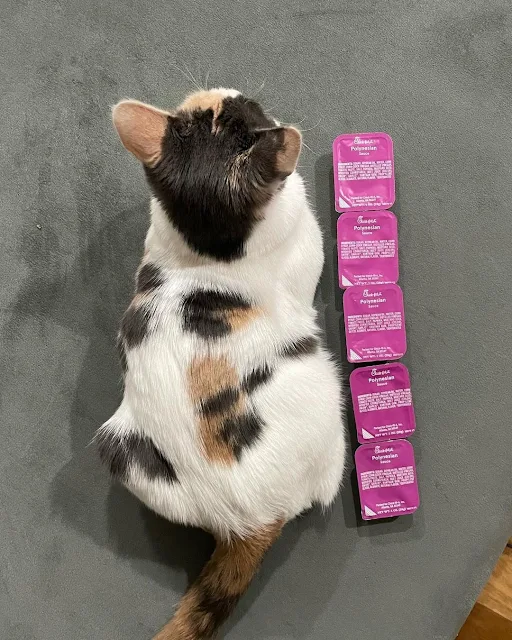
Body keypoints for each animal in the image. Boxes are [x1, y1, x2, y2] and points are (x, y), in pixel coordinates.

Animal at [96, 88, 346, 639]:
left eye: (213, 114)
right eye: (239, 119)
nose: (239, 96)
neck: (208, 249)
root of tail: (248, 524)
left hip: (117, 447)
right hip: (325, 389)